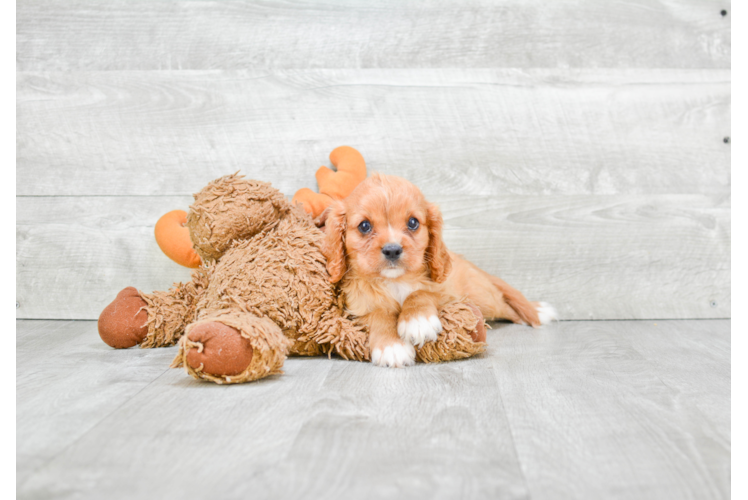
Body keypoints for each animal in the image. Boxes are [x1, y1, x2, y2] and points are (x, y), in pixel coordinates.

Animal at [322, 173, 556, 368]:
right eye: (364, 226)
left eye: (413, 222)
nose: (392, 250)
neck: (396, 281)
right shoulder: (356, 308)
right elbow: (378, 314)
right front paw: (392, 346)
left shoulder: (448, 294)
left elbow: (421, 292)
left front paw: (417, 321)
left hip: (483, 299)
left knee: (507, 307)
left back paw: (538, 311)